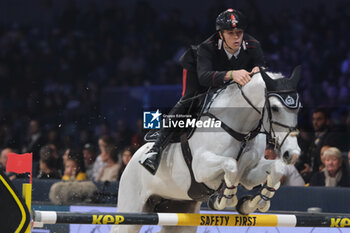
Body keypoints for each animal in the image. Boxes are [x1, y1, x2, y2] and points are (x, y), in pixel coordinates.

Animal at [111, 66, 300, 232]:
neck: (241, 131)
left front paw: (252, 204)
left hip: (180, 210)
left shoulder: (248, 173)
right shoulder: (201, 168)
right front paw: (224, 199)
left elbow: (276, 169)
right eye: (275, 108)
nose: (292, 154)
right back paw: (151, 159)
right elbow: (231, 165)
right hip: (133, 207)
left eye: (299, 108)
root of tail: (132, 159)